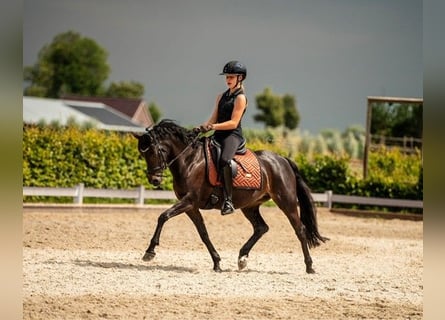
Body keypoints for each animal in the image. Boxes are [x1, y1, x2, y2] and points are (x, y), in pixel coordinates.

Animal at [132, 119, 326, 274]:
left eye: (156, 151)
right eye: (142, 153)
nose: (155, 180)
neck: (190, 161)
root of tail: (282, 159)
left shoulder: (189, 201)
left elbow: (163, 216)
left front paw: (149, 252)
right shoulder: (191, 206)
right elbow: (203, 233)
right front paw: (217, 263)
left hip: (286, 201)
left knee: (300, 230)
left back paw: (309, 266)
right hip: (250, 206)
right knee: (261, 228)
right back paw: (242, 258)